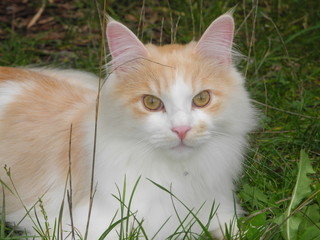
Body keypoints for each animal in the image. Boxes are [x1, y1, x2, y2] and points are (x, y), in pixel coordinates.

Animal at [0, 13, 255, 240]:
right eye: (151, 102)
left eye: (202, 99)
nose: (181, 130)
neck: (178, 177)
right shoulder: (81, 227)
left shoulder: (222, 211)